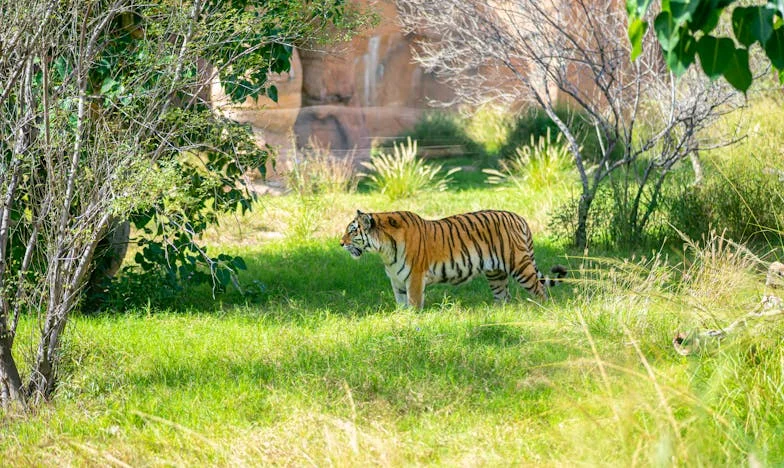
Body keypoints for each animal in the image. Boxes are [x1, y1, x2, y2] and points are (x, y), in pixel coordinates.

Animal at [340, 210, 568, 308]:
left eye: (352, 231)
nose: (340, 243)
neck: (384, 251)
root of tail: (519, 218)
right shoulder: (397, 281)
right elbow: (401, 304)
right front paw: (401, 319)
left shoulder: (414, 278)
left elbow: (413, 304)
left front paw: (412, 321)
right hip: (496, 274)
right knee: (504, 296)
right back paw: (498, 315)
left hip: (520, 265)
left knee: (540, 290)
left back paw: (542, 310)